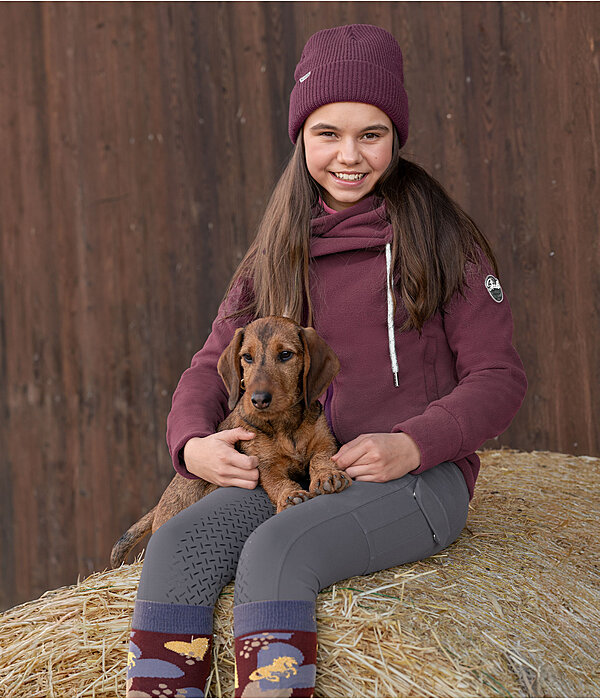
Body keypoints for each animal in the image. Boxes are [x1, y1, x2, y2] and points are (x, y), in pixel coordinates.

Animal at [111, 314, 352, 568]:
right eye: (247, 357)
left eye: (285, 354)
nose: (259, 399)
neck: (285, 424)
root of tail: (159, 507)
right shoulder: (265, 465)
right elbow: (276, 482)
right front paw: (290, 495)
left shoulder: (325, 443)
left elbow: (321, 458)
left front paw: (328, 475)